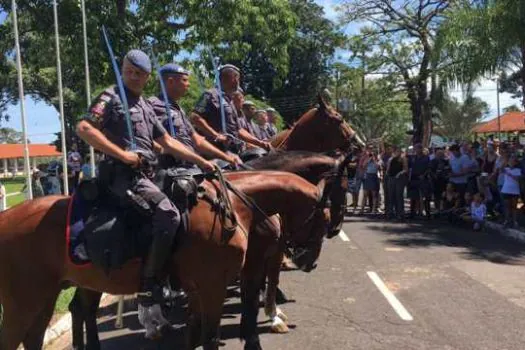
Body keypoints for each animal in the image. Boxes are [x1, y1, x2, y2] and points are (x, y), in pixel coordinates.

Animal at [0, 171, 328, 348]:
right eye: (324, 219)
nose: (309, 261)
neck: (233, 207)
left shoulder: (200, 288)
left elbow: (194, 335)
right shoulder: (213, 287)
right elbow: (209, 337)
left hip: (50, 297)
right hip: (23, 304)